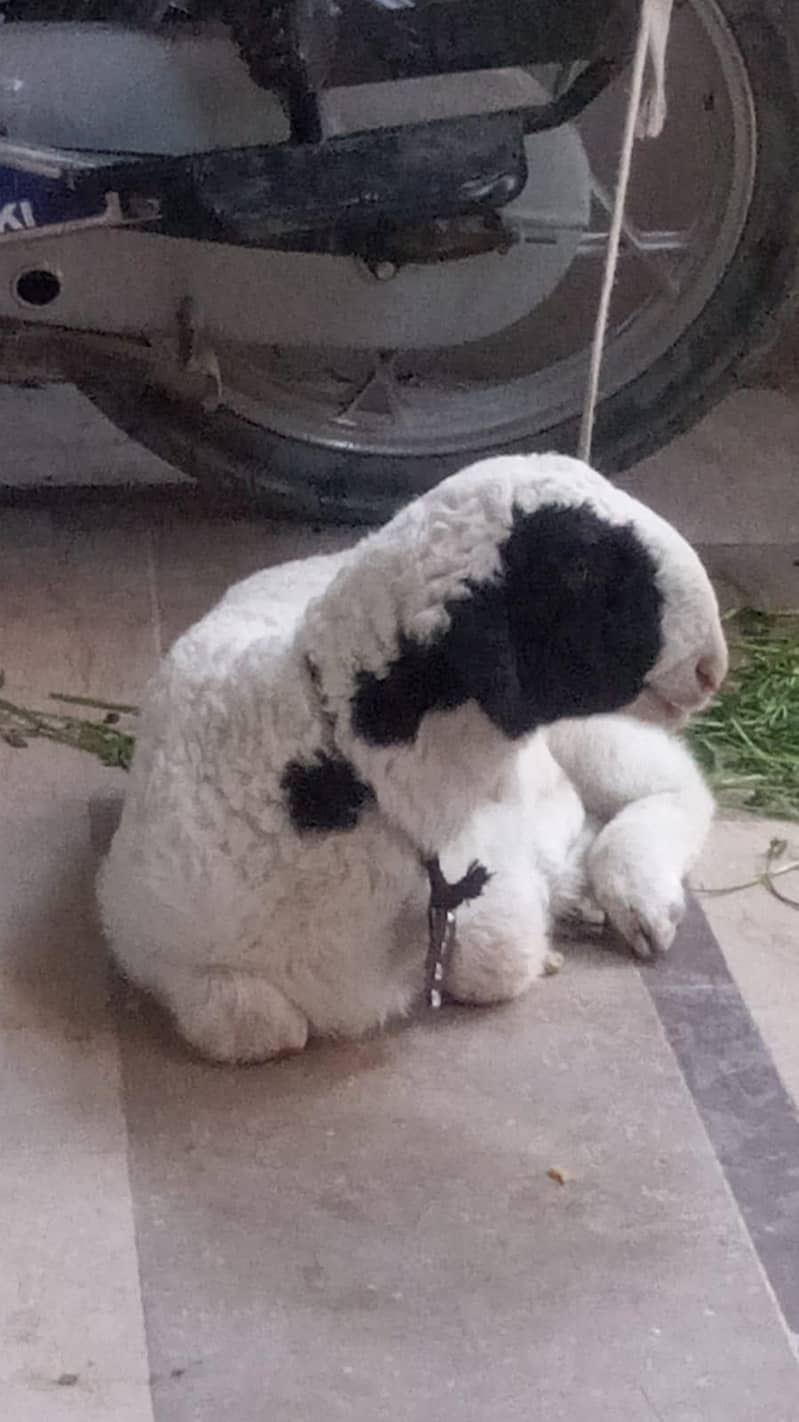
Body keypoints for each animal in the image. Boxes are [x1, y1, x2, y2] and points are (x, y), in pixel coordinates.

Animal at [97, 453, 727, 1062]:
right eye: (578, 567)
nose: (711, 666)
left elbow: (496, 951)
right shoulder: (138, 925)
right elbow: (256, 1025)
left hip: (591, 735)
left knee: (673, 784)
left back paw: (636, 896)